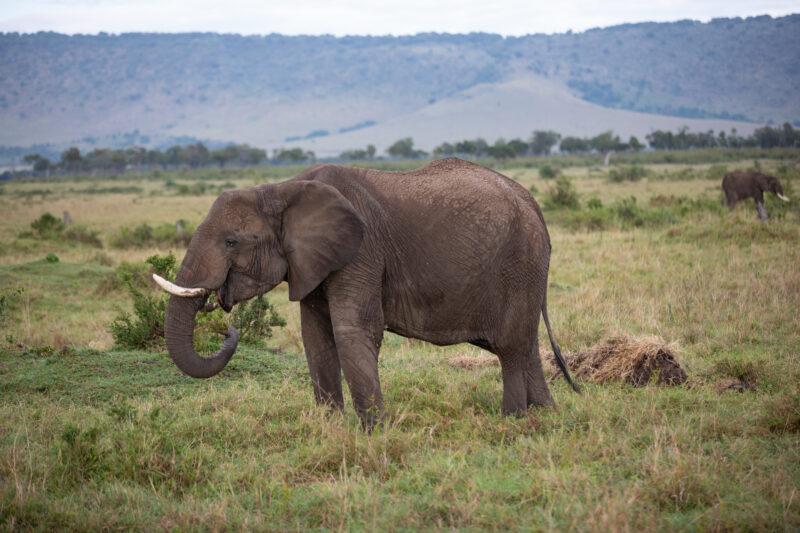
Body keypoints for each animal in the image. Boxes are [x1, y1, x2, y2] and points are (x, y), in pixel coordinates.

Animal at [153, 158, 579, 429]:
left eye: (231, 241)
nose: (229, 328)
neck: (280, 189)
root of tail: (533, 204)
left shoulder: (361, 252)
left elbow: (353, 331)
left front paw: (375, 433)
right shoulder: (313, 261)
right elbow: (316, 338)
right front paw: (328, 429)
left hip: (520, 265)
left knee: (510, 346)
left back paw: (512, 421)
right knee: (525, 345)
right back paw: (548, 415)